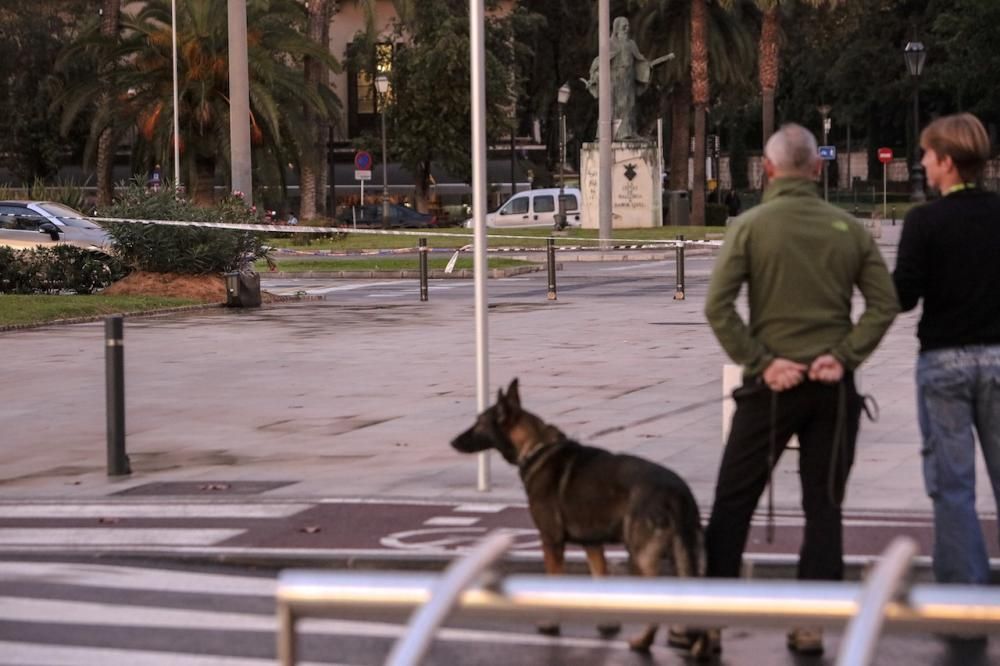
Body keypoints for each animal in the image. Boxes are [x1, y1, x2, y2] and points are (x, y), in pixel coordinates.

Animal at [450, 376, 708, 652]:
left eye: (479, 422)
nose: (452, 441)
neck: (535, 447)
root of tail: (676, 490)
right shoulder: (592, 545)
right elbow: (600, 581)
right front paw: (608, 624)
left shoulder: (551, 542)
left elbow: (554, 584)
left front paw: (551, 625)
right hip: (684, 554)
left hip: (640, 556)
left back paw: (644, 641)